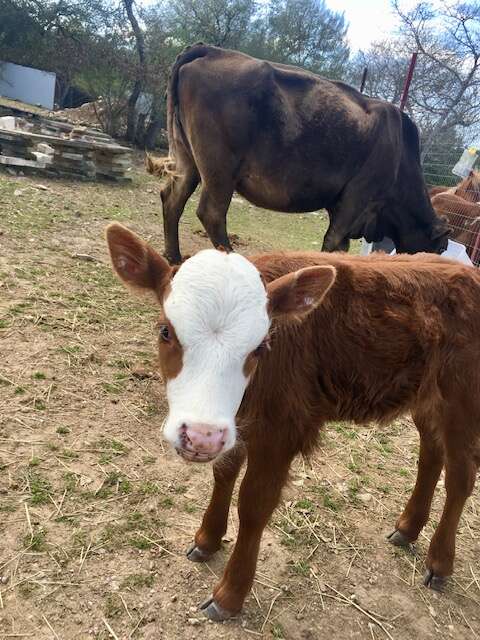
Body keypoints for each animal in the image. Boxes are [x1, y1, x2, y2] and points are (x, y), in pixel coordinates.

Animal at [108, 224, 480, 620]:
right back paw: (408, 528)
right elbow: (223, 475)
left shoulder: (280, 429)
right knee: (431, 456)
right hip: (426, 398)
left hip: (463, 401)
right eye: (165, 331)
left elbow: (254, 504)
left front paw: (230, 594)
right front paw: (207, 540)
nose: (200, 436)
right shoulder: (236, 424)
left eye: (260, 347)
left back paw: (439, 562)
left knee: (460, 477)